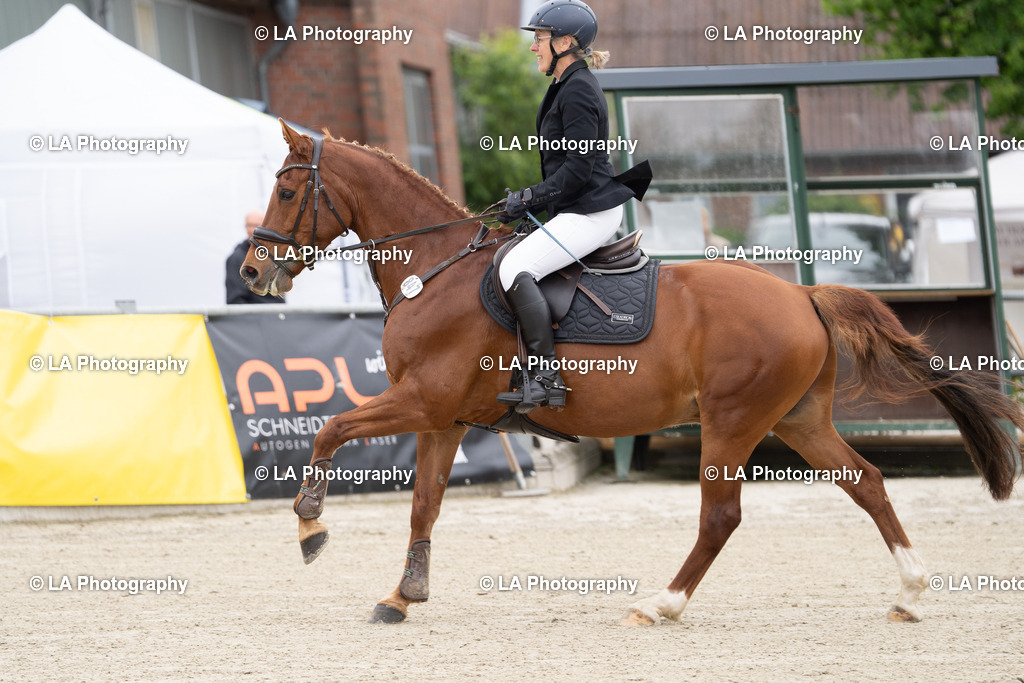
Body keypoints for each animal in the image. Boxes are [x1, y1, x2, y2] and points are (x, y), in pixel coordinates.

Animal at [240, 120, 1023, 626]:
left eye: (287, 192)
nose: (251, 271)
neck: (433, 272)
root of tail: (803, 292)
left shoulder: (421, 400)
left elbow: (331, 428)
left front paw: (310, 527)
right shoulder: (444, 415)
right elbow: (424, 503)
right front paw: (404, 595)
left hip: (732, 421)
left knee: (722, 515)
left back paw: (662, 604)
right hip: (798, 419)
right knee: (867, 482)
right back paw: (911, 592)